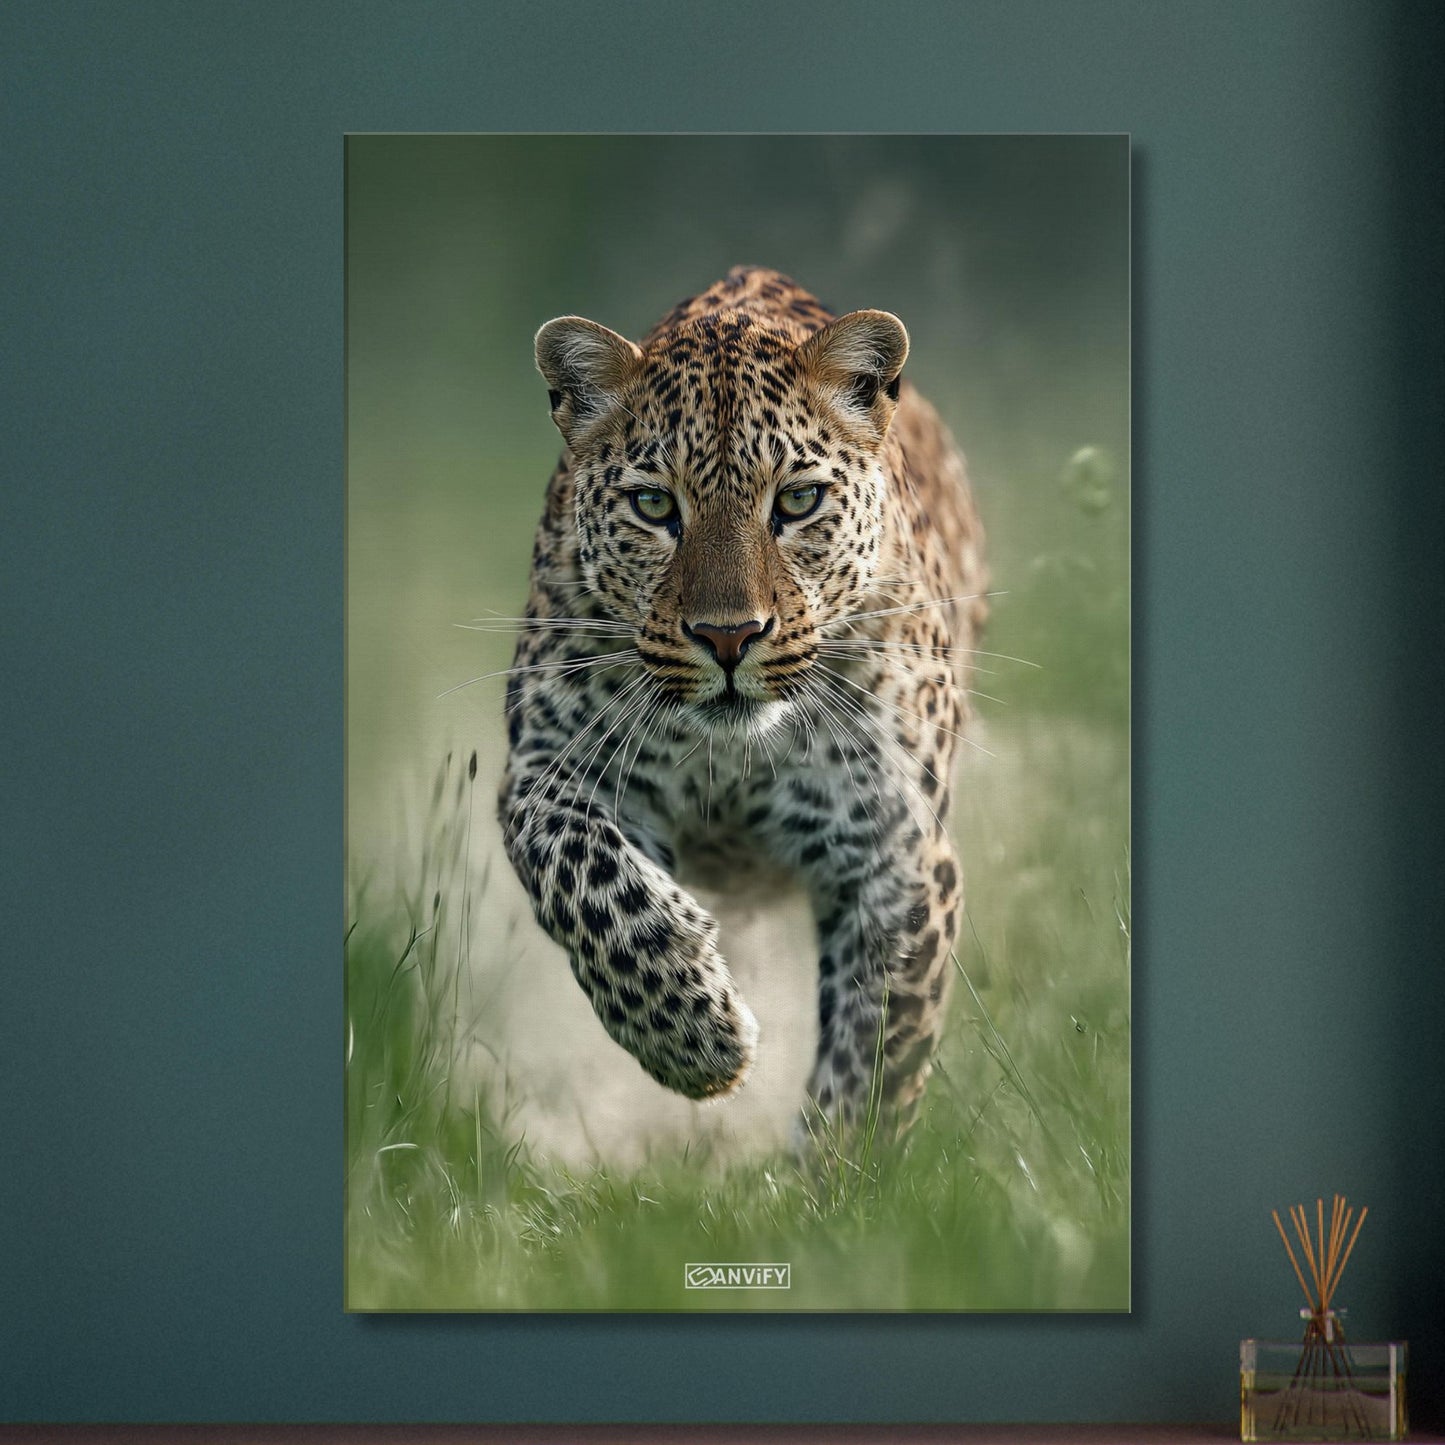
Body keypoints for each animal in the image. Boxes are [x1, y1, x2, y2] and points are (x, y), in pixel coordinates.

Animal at [496, 266, 987, 1136]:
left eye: (795, 501)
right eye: (653, 506)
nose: (728, 638)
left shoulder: (895, 852)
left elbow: (874, 1054)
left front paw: (835, 1168)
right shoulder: (543, 771)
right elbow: (588, 880)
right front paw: (698, 1038)